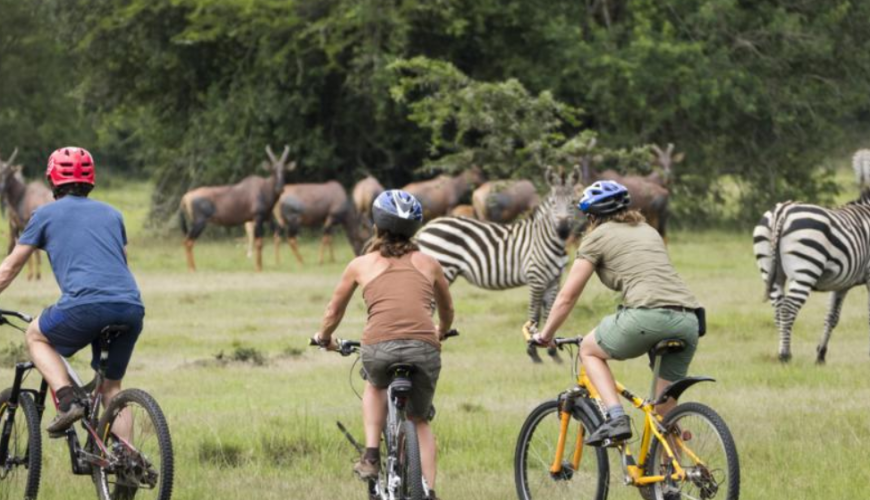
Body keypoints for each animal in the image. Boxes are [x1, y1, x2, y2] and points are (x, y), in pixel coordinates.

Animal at [0, 148, 53, 282]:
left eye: (9, 173)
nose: (1, 188)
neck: (21, 195)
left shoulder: (26, 225)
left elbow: (32, 253)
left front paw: (33, 276)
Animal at [418, 166, 584, 362]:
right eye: (553, 203)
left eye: (573, 202)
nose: (563, 231)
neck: (545, 239)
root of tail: (426, 228)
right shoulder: (536, 277)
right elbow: (534, 315)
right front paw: (533, 351)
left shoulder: (554, 280)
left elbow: (550, 313)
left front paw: (552, 352)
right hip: (442, 268)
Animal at [752, 188, 870, 364]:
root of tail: (782, 210)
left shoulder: (842, 283)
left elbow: (831, 317)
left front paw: (820, 355)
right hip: (805, 269)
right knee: (788, 309)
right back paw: (785, 356)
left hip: (770, 271)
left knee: (778, 309)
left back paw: (782, 351)